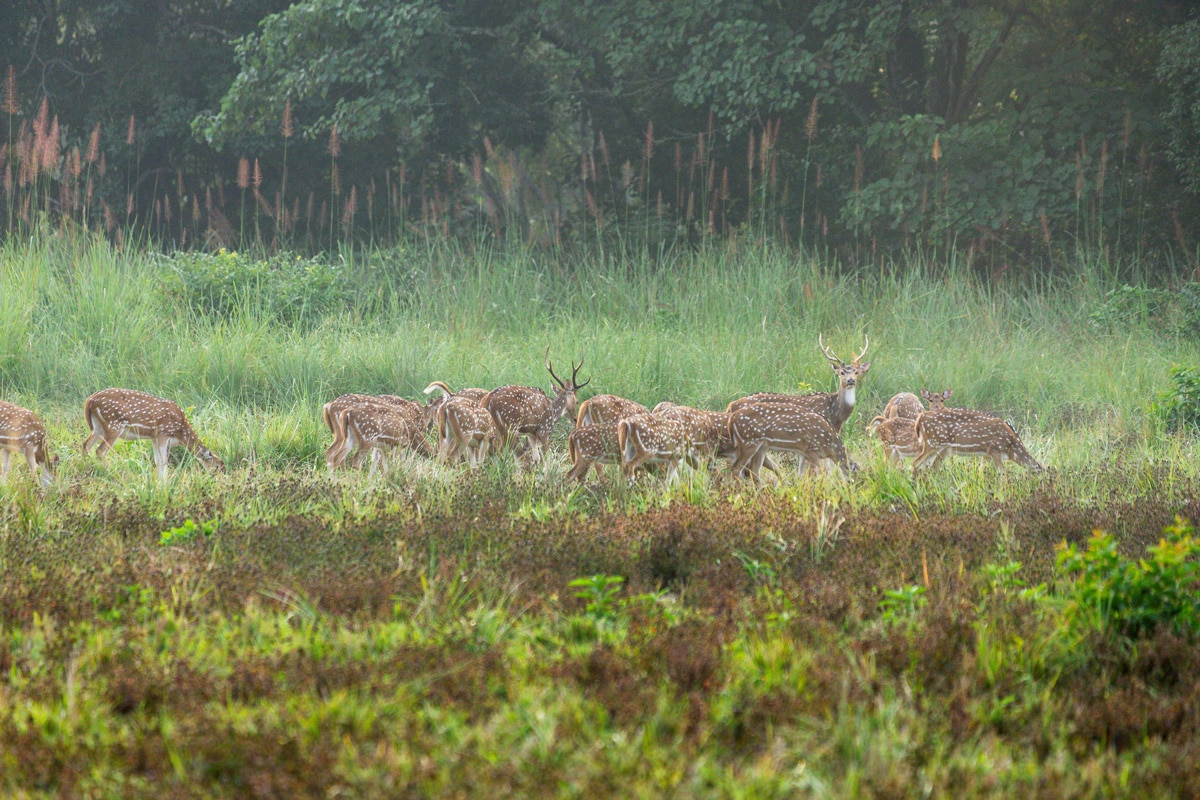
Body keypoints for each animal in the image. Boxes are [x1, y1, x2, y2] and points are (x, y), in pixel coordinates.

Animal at [82, 388, 225, 479]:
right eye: (217, 467)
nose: (220, 479)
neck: (180, 433)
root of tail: (89, 401)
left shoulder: (154, 437)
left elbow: (157, 460)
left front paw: (160, 482)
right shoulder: (163, 433)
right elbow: (163, 460)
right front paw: (164, 483)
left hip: (98, 427)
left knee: (86, 445)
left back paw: (86, 467)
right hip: (113, 425)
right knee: (100, 450)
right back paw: (110, 473)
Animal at [720, 402, 854, 479]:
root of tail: (731, 419)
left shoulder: (804, 453)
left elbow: (801, 476)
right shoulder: (813, 449)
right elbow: (821, 474)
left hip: (761, 446)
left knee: (754, 470)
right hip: (749, 442)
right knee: (736, 469)